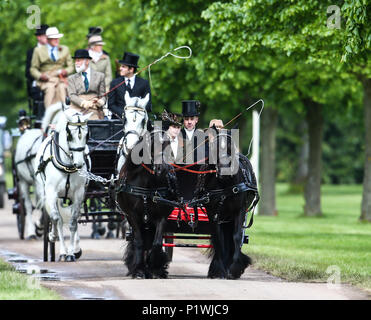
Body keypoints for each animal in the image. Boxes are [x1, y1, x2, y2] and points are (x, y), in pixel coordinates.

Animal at [14, 101, 63, 239]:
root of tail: (26, 131)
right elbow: (44, 203)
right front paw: (40, 226)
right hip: (23, 182)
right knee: (28, 205)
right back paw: (31, 232)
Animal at [35, 109, 92, 262]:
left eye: (87, 135)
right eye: (69, 135)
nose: (79, 164)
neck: (67, 165)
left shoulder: (78, 194)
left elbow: (73, 221)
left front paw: (71, 253)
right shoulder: (51, 192)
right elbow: (57, 219)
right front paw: (60, 248)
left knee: (75, 218)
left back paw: (76, 249)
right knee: (55, 217)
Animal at [116, 128, 180, 278]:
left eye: (168, 144)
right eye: (152, 144)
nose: (161, 168)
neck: (147, 184)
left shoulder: (161, 216)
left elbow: (156, 243)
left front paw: (155, 267)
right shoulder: (133, 216)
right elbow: (139, 242)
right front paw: (139, 270)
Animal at [195, 126, 262, 278]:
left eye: (231, 147)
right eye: (215, 147)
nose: (225, 170)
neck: (225, 185)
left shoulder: (239, 210)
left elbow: (236, 237)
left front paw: (235, 268)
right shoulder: (213, 213)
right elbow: (218, 239)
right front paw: (219, 270)